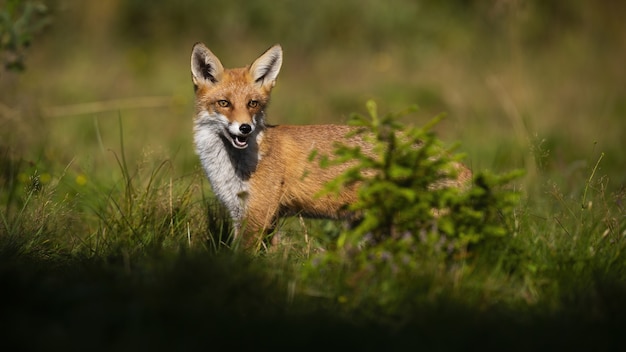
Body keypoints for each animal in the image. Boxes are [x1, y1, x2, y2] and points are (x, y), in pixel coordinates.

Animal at [190, 42, 468, 249]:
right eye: (224, 103)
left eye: (253, 104)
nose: (245, 128)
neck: (235, 166)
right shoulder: (243, 215)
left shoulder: (259, 215)